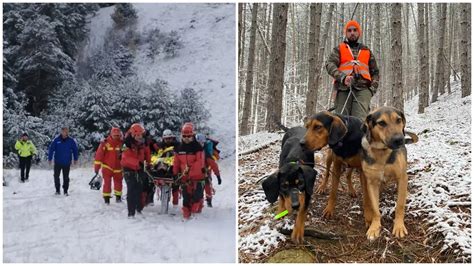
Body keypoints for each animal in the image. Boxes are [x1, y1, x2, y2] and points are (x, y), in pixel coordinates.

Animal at [360, 106, 418, 241]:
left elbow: (400, 205)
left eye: (398, 120)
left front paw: (399, 226)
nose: (399, 140)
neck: (382, 151)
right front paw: (374, 227)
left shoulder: (402, 177)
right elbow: (375, 209)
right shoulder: (371, 182)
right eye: (381, 123)